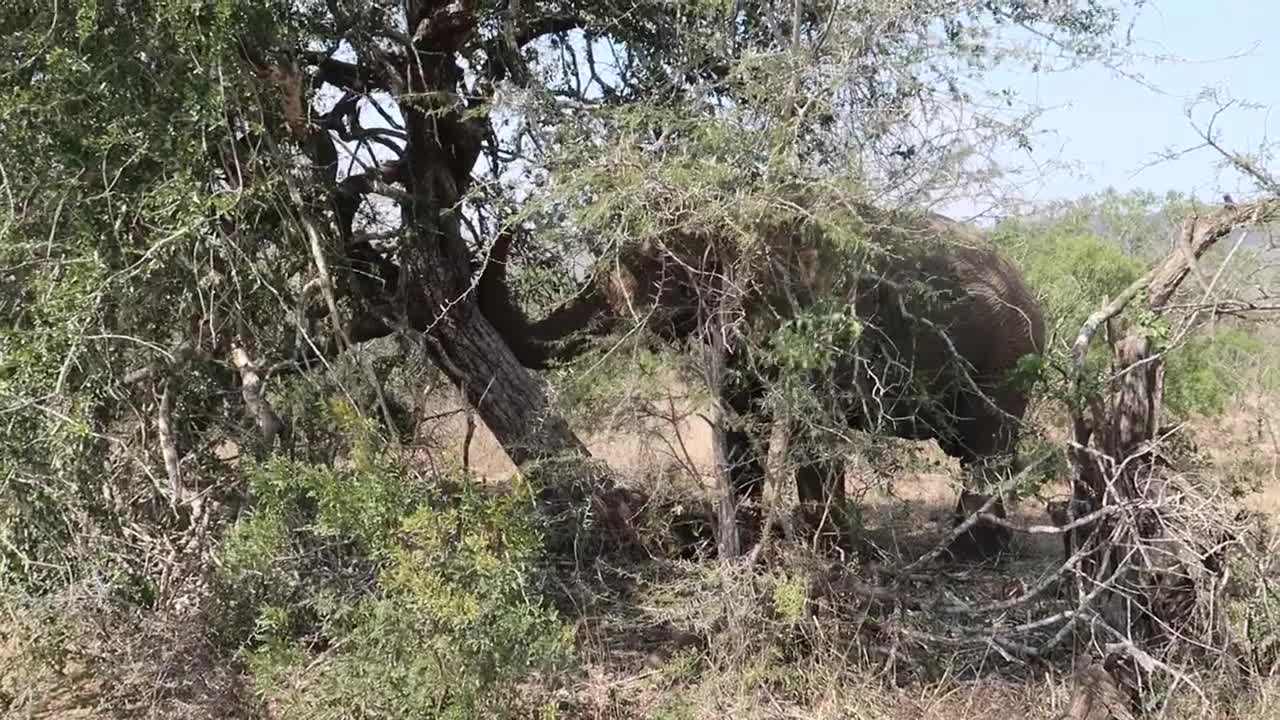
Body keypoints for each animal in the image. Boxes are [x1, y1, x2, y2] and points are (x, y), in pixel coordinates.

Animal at [476, 207, 1044, 556]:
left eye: (657, 276)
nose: (511, 225)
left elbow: (815, 426)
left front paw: (829, 552)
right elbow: (741, 419)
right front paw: (750, 539)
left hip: (1007, 358)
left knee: (987, 448)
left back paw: (966, 555)